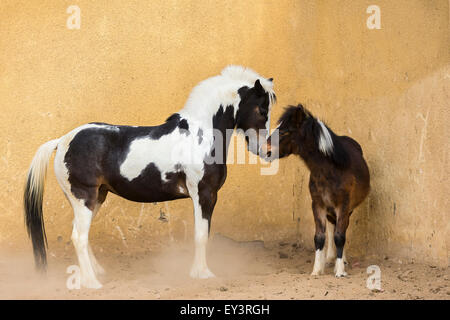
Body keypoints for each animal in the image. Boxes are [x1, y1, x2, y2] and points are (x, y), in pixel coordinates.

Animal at [25, 66, 278, 288]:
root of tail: (62, 140)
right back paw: (92, 283)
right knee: (79, 236)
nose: (265, 151)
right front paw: (202, 273)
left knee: (79, 234)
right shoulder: (204, 194)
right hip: (84, 197)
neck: (200, 135)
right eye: (262, 110)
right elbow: (201, 235)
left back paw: (97, 272)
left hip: (96, 198)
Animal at [264, 104, 370, 276]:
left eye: (285, 132)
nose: (263, 150)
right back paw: (330, 258)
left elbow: (340, 236)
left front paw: (340, 271)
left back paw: (341, 261)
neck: (331, 170)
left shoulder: (343, 205)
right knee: (332, 226)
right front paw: (316, 270)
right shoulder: (318, 204)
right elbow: (319, 237)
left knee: (341, 229)